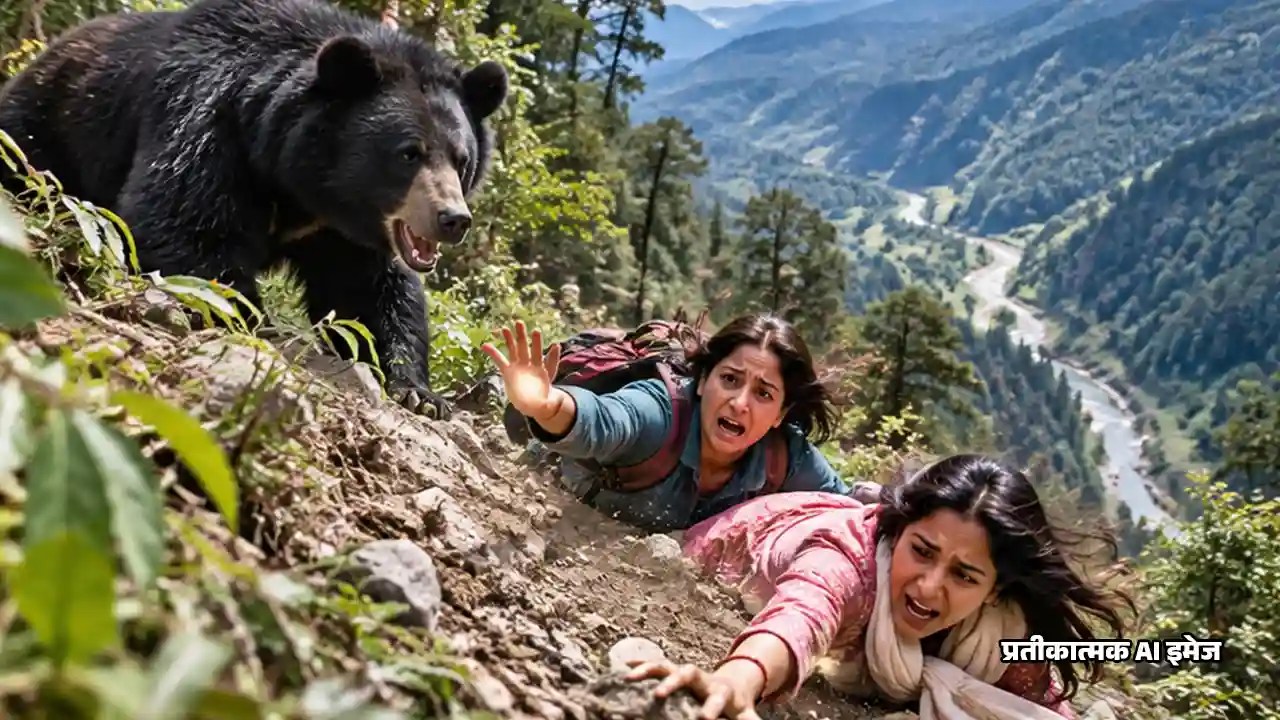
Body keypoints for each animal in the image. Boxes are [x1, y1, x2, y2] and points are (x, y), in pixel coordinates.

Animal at [0, 0, 509, 417]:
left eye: (462, 159)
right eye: (409, 153)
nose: (453, 220)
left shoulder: (342, 230)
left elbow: (370, 292)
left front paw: (419, 392)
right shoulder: (209, 123)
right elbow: (184, 222)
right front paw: (253, 321)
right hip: (44, 128)